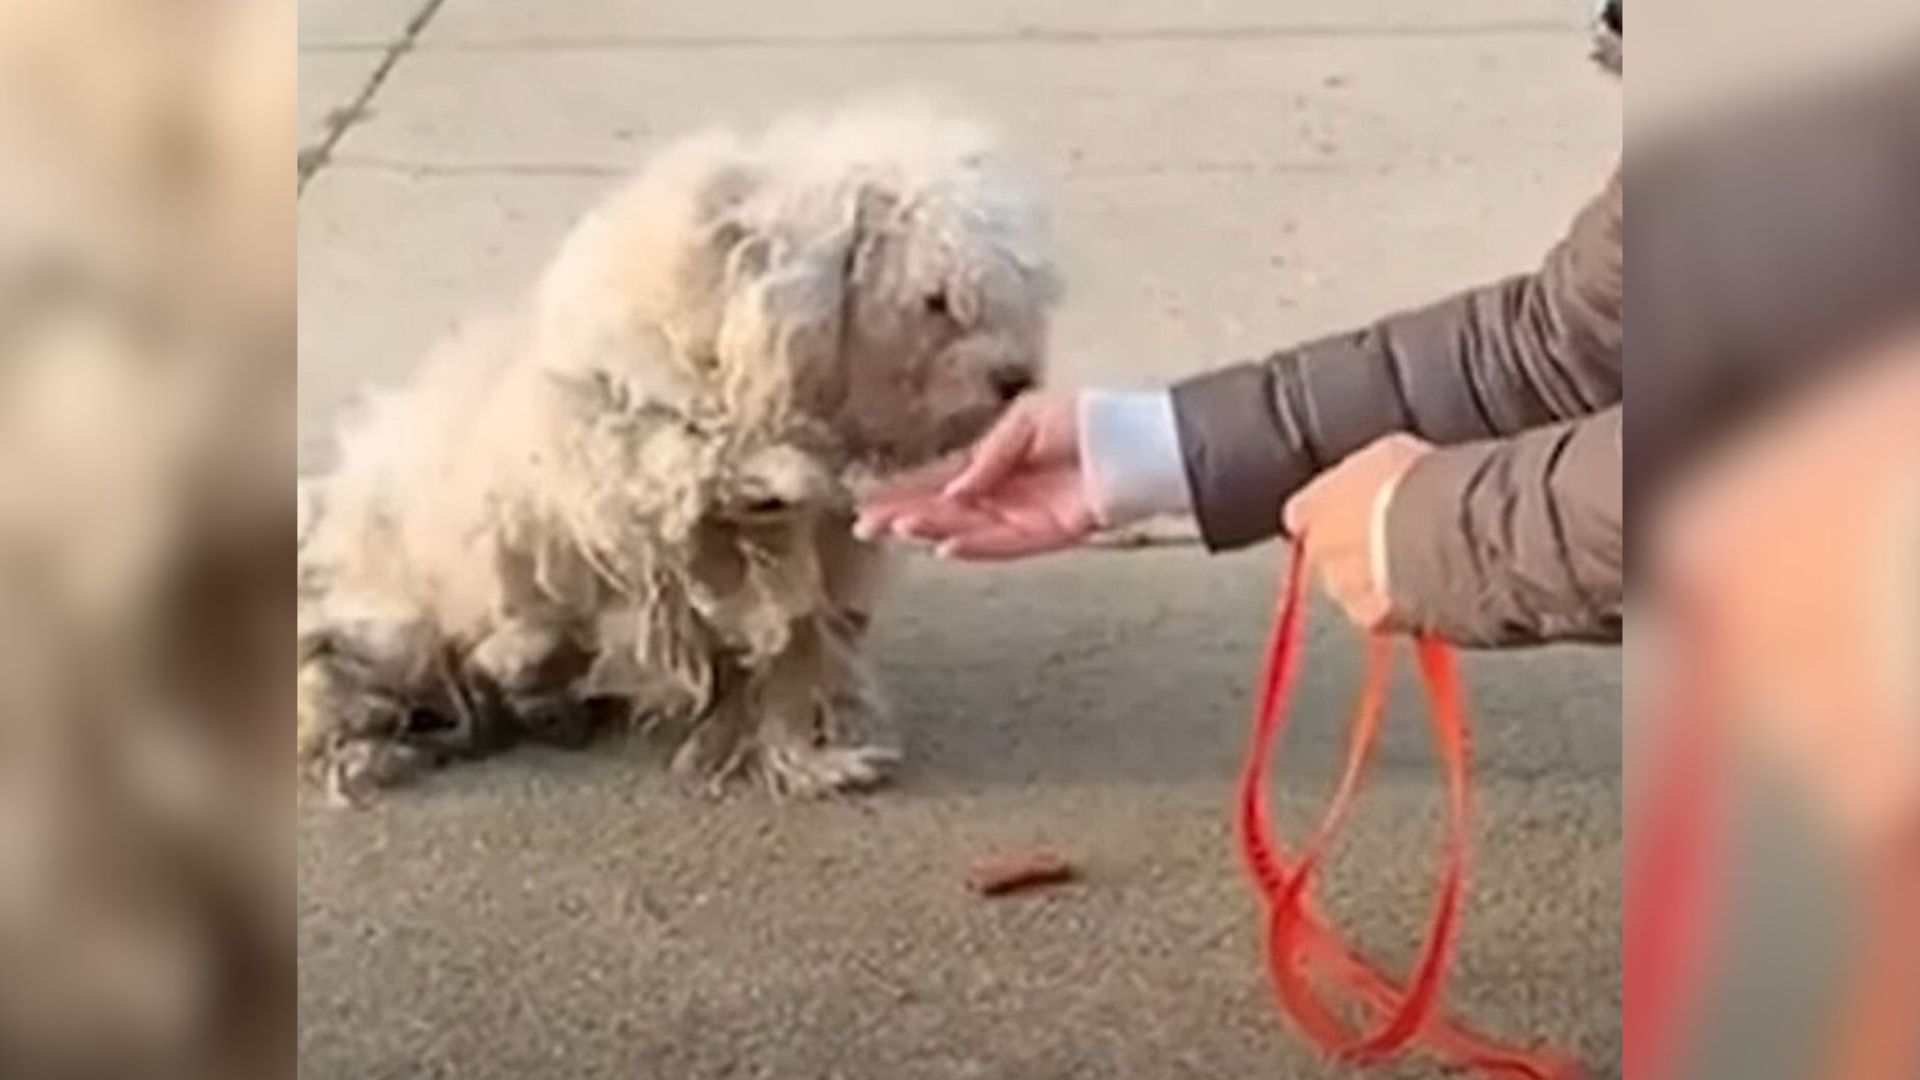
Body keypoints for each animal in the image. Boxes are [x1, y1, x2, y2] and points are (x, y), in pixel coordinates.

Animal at [293, 105, 1059, 803]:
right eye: (936, 301)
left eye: (1009, 295)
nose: (1018, 379)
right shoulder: (631, 474)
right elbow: (700, 483)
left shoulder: (789, 559)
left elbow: (794, 646)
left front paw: (811, 752)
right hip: (392, 628)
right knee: (337, 685)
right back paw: (369, 744)